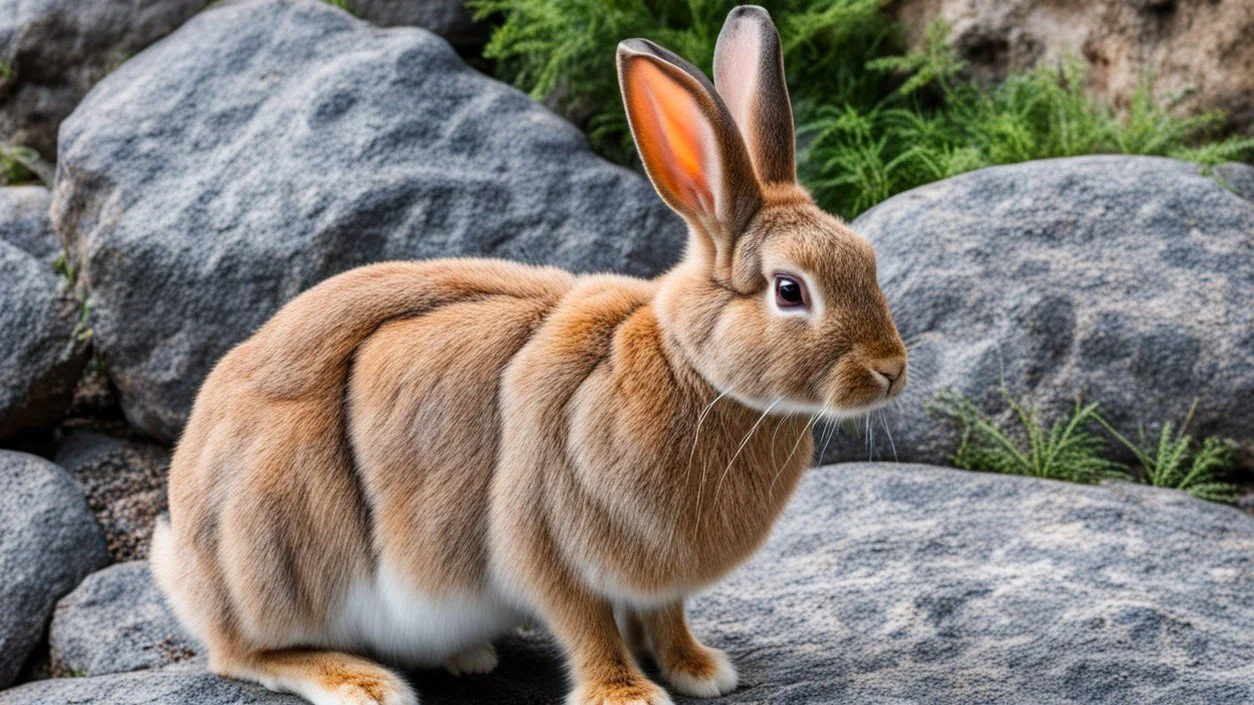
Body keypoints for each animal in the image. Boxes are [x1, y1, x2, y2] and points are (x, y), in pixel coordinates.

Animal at [150, 6, 908, 705]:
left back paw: (466, 655)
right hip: (278, 547)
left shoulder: (658, 577)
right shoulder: (546, 545)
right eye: (789, 290)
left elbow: (667, 618)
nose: (891, 371)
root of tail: (186, 548)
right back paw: (359, 682)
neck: (691, 369)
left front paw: (701, 671)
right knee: (243, 651)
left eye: (868, 258)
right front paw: (627, 695)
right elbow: (586, 627)